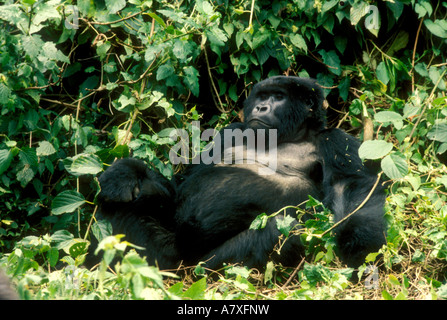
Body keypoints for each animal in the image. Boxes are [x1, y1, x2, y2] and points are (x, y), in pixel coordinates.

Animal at [95, 77, 388, 270]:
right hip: (169, 253)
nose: (260, 108)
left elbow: (349, 188)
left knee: (280, 232)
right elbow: (182, 184)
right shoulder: (230, 131)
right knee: (120, 208)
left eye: (278, 97)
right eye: (261, 97)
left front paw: (359, 245)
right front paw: (125, 173)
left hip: (204, 264)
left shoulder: (335, 141)